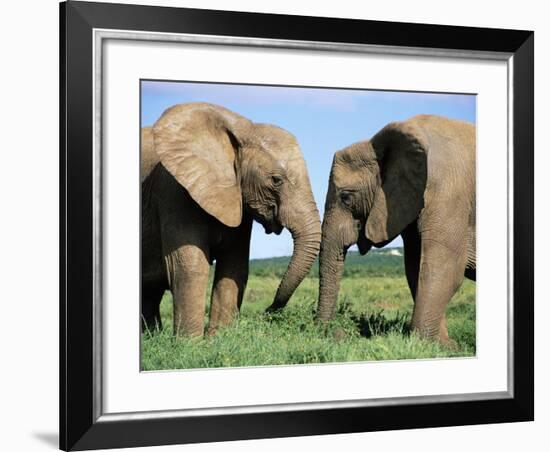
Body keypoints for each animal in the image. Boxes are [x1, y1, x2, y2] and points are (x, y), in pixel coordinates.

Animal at [142, 102, 324, 336]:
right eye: (276, 180)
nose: (267, 311)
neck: (242, 128)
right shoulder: (174, 190)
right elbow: (190, 267)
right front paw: (190, 343)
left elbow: (234, 267)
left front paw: (219, 339)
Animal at [316, 115, 476, 344]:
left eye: (346, 198)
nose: (339, 333)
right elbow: (415, 266)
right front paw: (442, 345)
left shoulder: (448, 192)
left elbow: (445, 267)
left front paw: (427, 343)